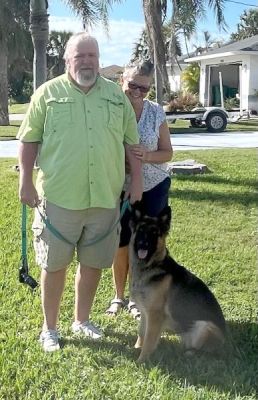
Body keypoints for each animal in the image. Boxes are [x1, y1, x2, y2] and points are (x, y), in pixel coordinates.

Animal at [130, 206, 225, 362]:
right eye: (141, 230)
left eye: (154, 233)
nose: (143, 244)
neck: (151, 266)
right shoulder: (145, 312)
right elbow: (141, 333)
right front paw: (136, 348)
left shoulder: (155, 315)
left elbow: (149, 339)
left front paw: (141, 360)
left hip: (205, 327)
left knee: (209, 353)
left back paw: (192, 354)